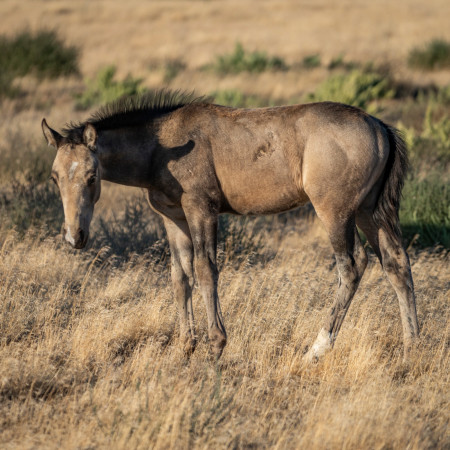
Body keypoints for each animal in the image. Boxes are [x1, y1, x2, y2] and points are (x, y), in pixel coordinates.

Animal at [41, 91, 418, 362]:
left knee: (352, 266)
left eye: (92, 176)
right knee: (396, 264)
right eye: (54, 177)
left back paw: (316, 350)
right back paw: (412, 346)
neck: (163, 145)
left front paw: (216, 344)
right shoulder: (173, 219)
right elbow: (180, 277)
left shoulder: (202, 211)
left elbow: (206, 270)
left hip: (335, 213)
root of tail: (379, 125)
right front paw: (185, 347)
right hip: (369, 212)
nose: (75, 237)